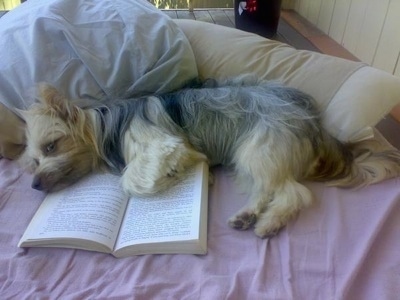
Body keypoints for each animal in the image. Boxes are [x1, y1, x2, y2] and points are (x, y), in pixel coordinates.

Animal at [18, 76, 400, 238]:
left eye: (51, 146)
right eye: (33, 161)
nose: (34, 185)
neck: (106, 126)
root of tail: (314, 121)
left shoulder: (162, 144)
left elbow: (131, 180)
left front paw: (168, 174)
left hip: (257, 148)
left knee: (293, 193)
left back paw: (266, 223)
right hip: (256, 156)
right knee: (271, 191)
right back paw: (251, 217)